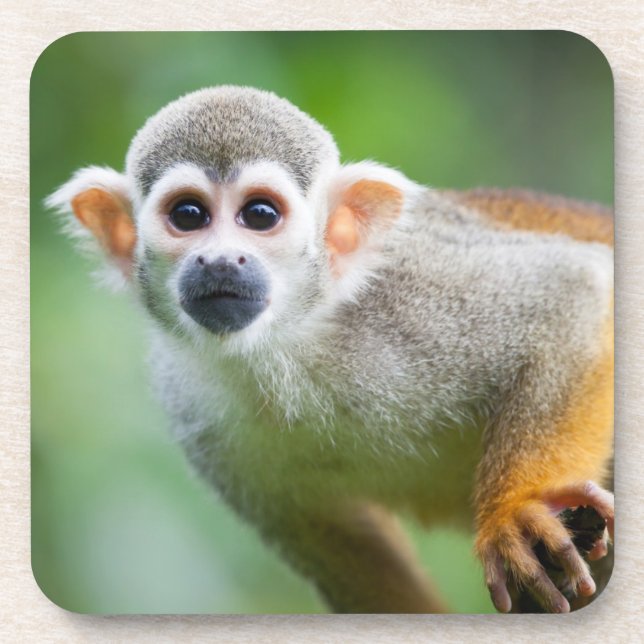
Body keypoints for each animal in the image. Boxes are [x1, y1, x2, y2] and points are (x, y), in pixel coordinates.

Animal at [46, 85, 614, 614]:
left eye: (259, 215)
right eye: (188, 215)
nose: (221, 261)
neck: (289, 342)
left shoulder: (413, 294)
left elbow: (572, 292)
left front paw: (516, 512)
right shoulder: (191, 405)